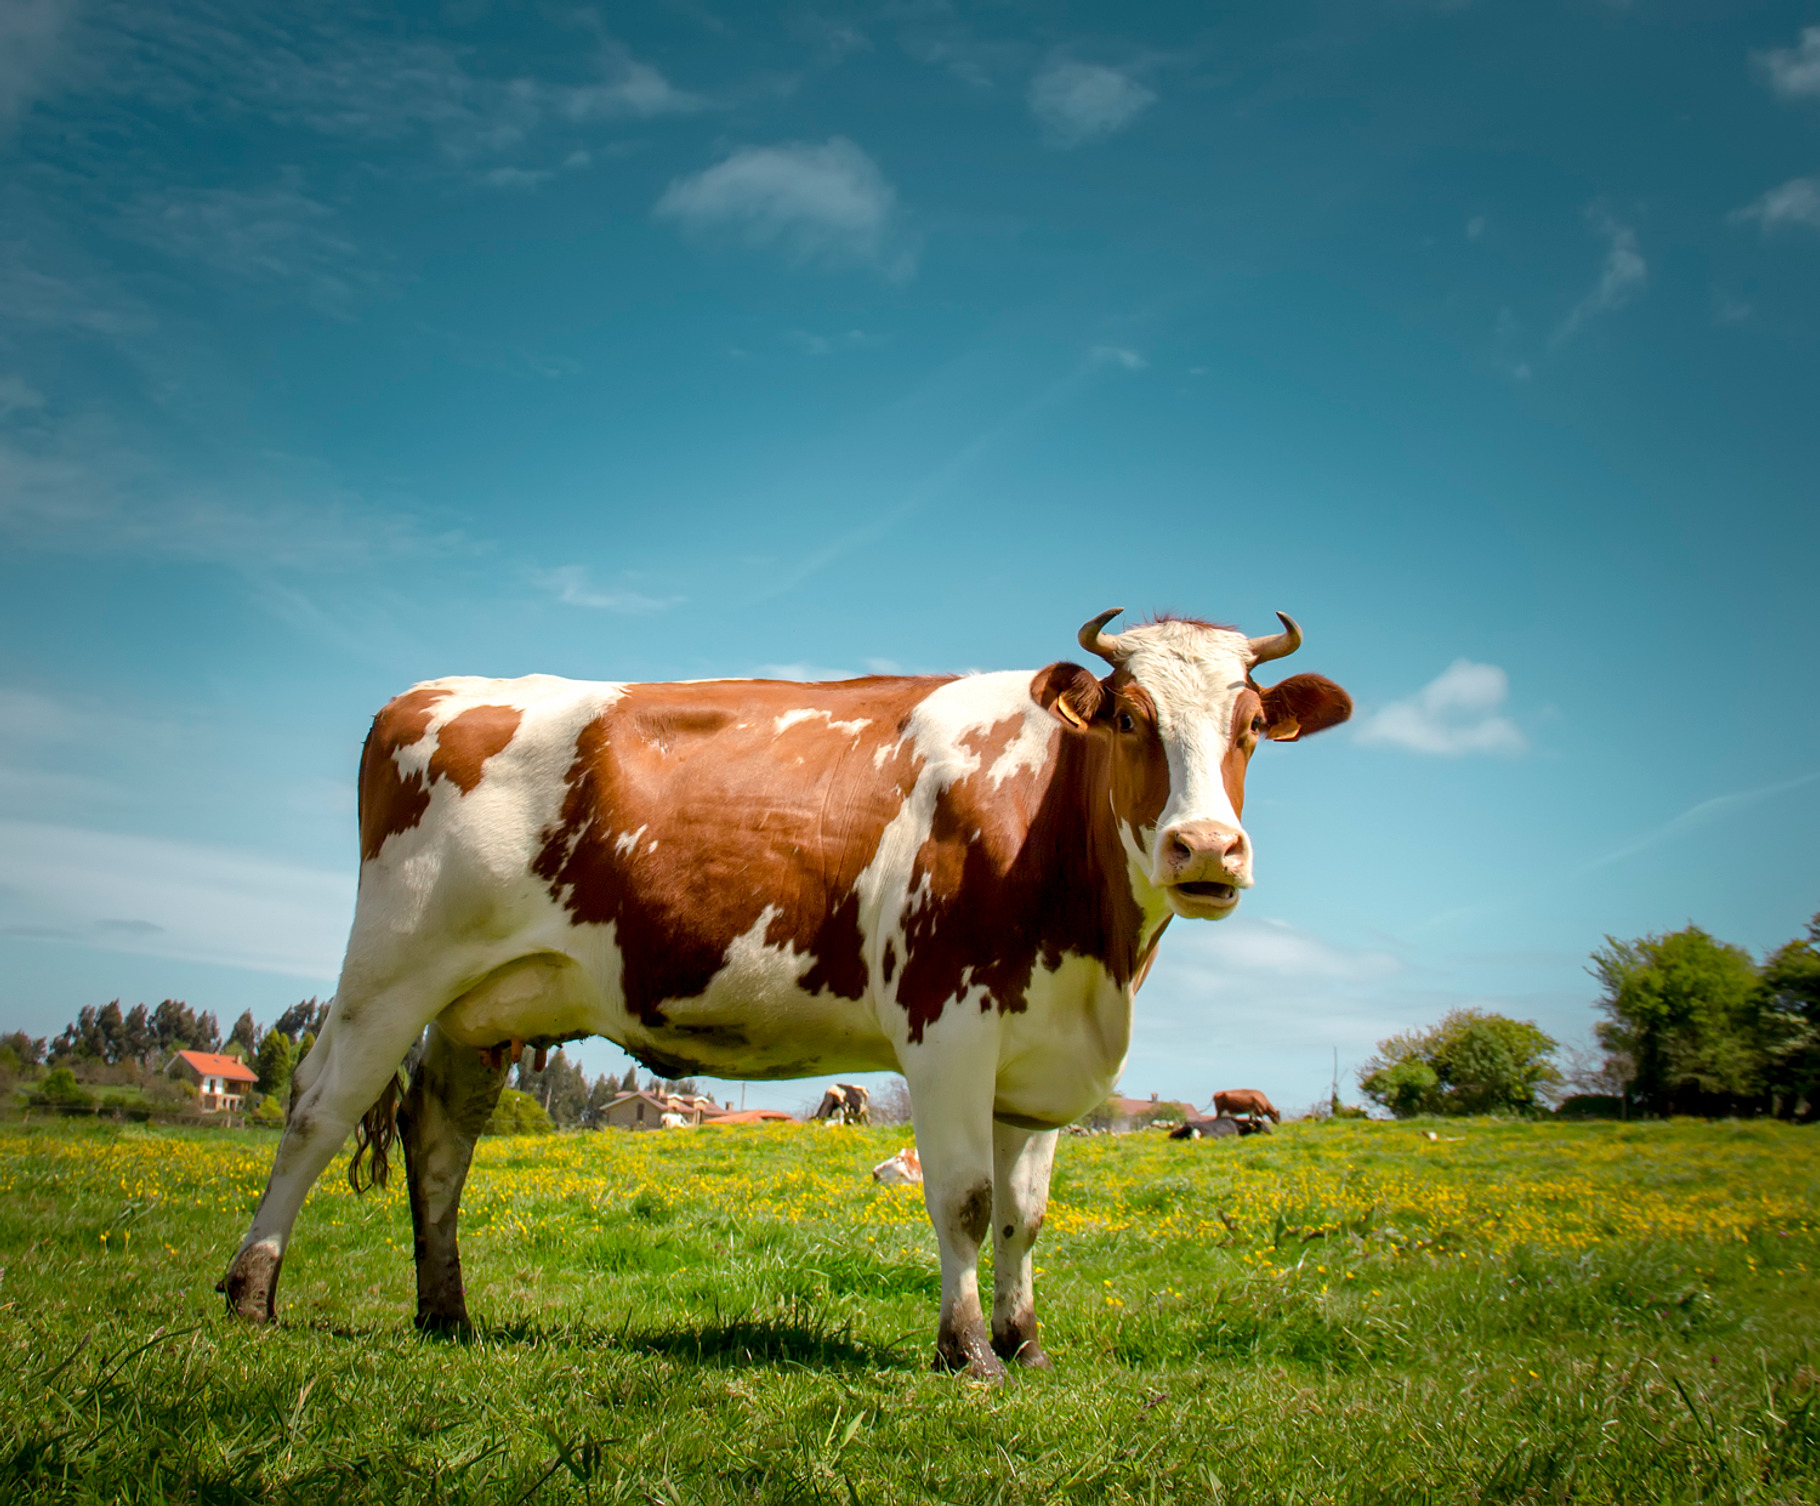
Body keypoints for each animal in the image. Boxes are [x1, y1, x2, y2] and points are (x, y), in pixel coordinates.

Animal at [218, 607, 1350, 1378]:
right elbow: (966, 1199)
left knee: (441, 1138)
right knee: (317, 1109)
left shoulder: (1038, 1059)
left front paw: (1025, 1344)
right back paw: (251, 1297)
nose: (1205, 848)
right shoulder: (945, 1024)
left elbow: (1025, 1215)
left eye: (1252, 724)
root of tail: (428, 693)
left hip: (485, 1004)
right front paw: (967, 1353)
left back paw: (446, 1313)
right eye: (1125, 716)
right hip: (391, 966)